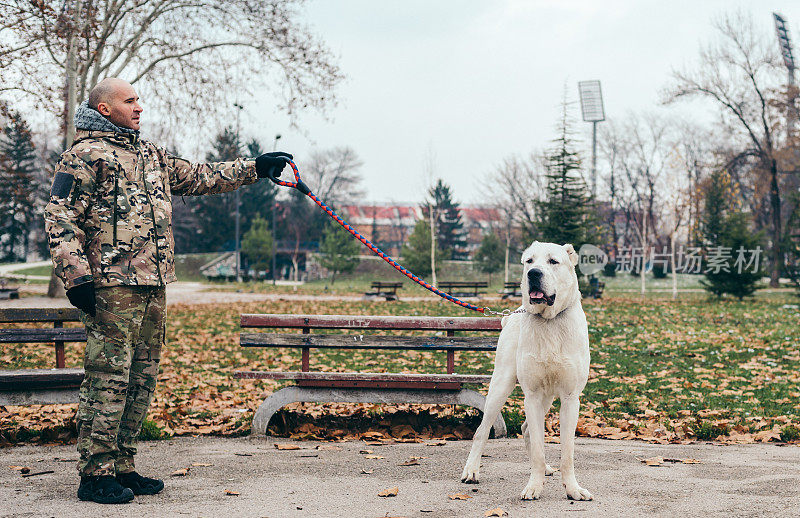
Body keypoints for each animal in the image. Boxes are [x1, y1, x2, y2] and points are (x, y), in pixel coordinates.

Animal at [462, 244, 592, 504]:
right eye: (529, 261)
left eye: (553, 261)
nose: (533, 273)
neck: (550, 322)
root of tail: (511, 315)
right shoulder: (531, 395)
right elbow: (539, 451)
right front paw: (534, 487)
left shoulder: (570, 398)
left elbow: (567, 452)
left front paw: (572, 489)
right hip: (500, 386)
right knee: (482, 431)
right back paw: (471, 471)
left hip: (548, 397)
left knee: (525, 429)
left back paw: (546, 470)